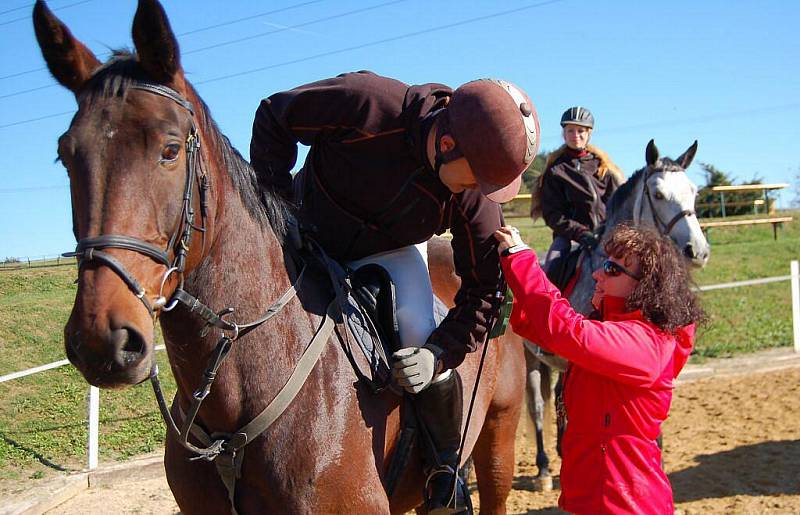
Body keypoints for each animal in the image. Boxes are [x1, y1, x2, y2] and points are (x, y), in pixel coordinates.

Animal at [34, 2, 524, 512]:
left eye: (170, 150)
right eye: (66, 155)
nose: (101, 341)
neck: (231, 414)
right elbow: (279, 112)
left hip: (498, 440)